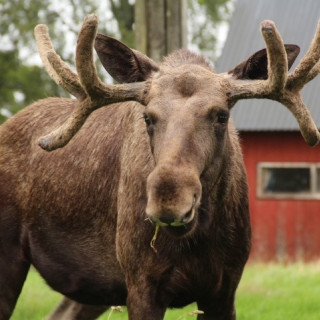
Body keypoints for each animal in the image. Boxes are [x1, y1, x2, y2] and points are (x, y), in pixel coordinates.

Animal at [0, 14, 320, 320]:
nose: (170, 200)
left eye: (221, 115)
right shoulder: (142, 283)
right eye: (148, 117)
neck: (197, 240)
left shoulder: (225, 288)